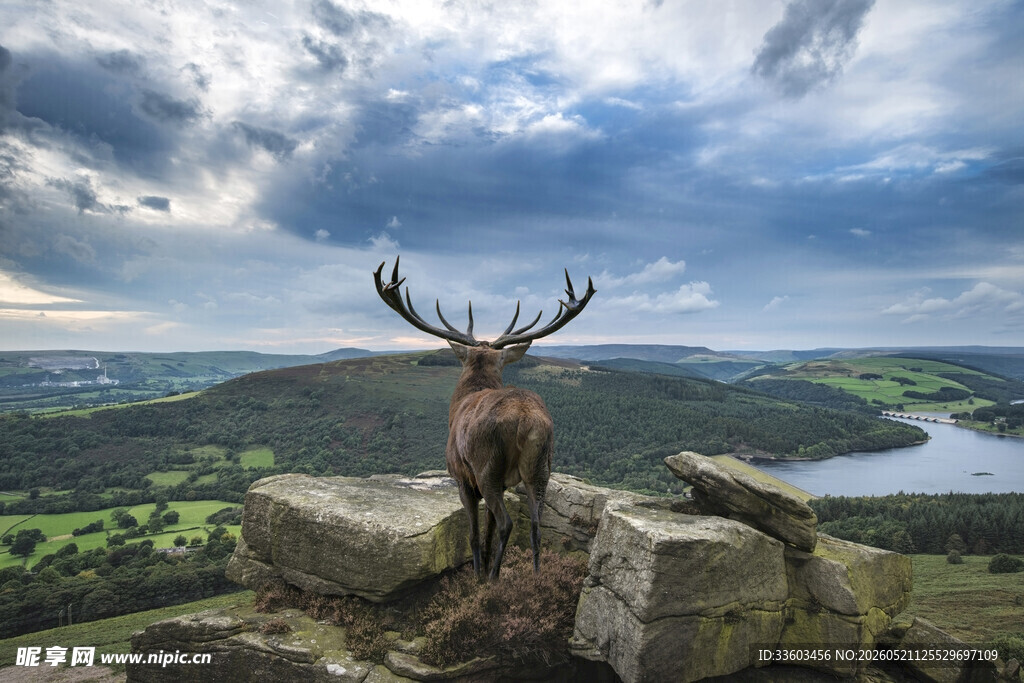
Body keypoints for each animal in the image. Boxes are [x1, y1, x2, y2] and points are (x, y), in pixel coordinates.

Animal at [374, 257, 595, 580]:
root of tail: (526, 421)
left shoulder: (461, 477)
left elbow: (476, 534)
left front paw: (478, 573)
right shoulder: (505, 482)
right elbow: (488, 532)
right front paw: (489, 565)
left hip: (487, 467)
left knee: (507, 523)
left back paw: (492, 579)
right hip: (541, 468)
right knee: (536, 527)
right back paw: (535, 578)